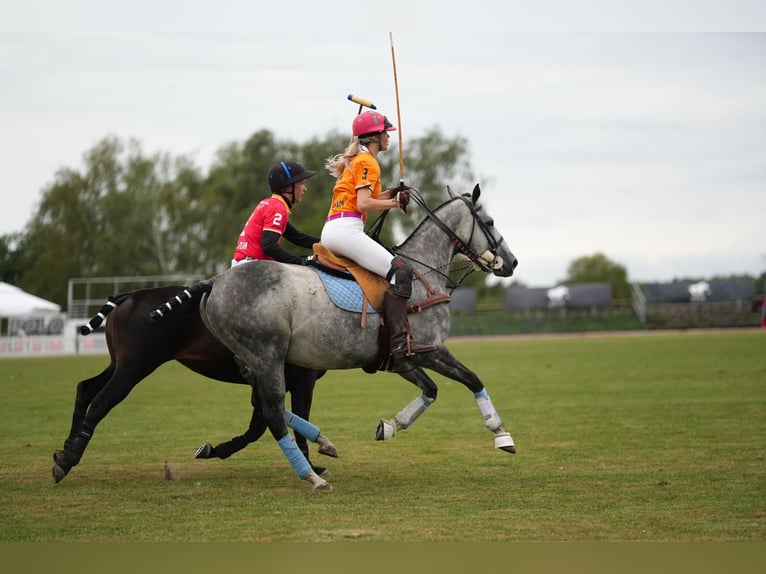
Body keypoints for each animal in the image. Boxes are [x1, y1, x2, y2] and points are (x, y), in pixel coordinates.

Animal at [52, 288, 338, 486]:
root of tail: (130, 295)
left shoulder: (267, 381)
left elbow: (260, 425)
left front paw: (214, 449)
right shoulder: (302, 380)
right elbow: (288, 422)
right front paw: (312, 467)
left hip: (119, 364)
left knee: (85, 389)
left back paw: (66, 450)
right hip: (134, 367)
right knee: (101, 401)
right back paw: (69, 458)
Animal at [198, 187, 520, 492]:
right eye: (489, 221)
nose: (513, 262)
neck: (422, 273)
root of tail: (214, 282)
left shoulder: (401, 358)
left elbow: (431, 389)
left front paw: (389, 426)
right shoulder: (430, 349)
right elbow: (473, 379)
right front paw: (501, 434)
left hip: (254, 362)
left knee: (263, 409)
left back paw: (318, 445)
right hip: (268, 358)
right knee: (273, 414)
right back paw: (313, 476)